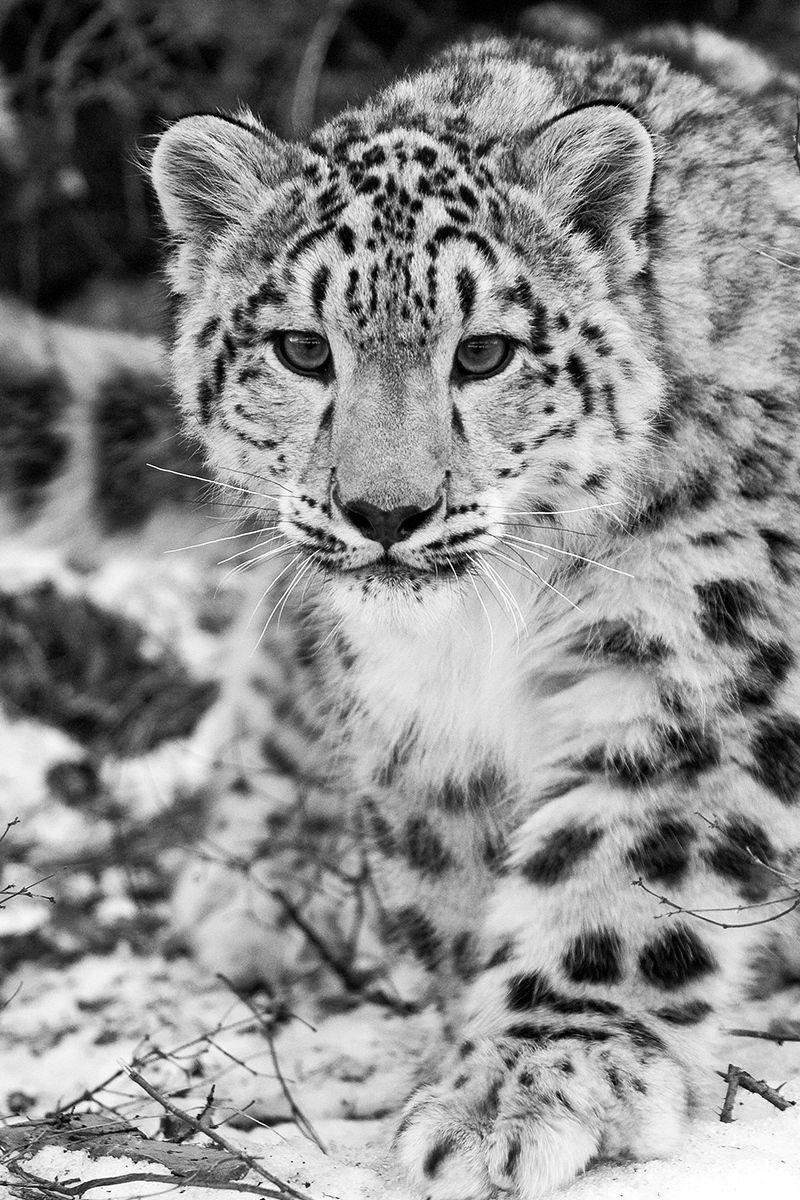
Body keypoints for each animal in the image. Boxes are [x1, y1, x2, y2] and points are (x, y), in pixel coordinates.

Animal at [149, 28, 800, 1199]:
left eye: (485, 351)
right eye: (302, 348)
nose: (384, 512)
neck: (481, 630)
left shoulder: (696, 648)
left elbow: (624, 869)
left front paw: (531, 1082)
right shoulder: (415, 718)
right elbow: (446, 879)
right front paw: (470, 1060)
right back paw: (256, 887)